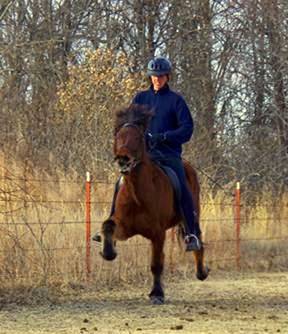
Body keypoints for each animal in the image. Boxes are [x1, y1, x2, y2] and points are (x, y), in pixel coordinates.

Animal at [100, 105, 208, 306]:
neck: (138, 194)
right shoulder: (125, 227)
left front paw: (157, 293)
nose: (123, 158)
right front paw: (108, 251)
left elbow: (156, 264)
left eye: (138, 138)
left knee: (197, 237)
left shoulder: (158, 233)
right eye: (118, 136)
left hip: (192, 214)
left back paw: (202, 272)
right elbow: (108, 225)